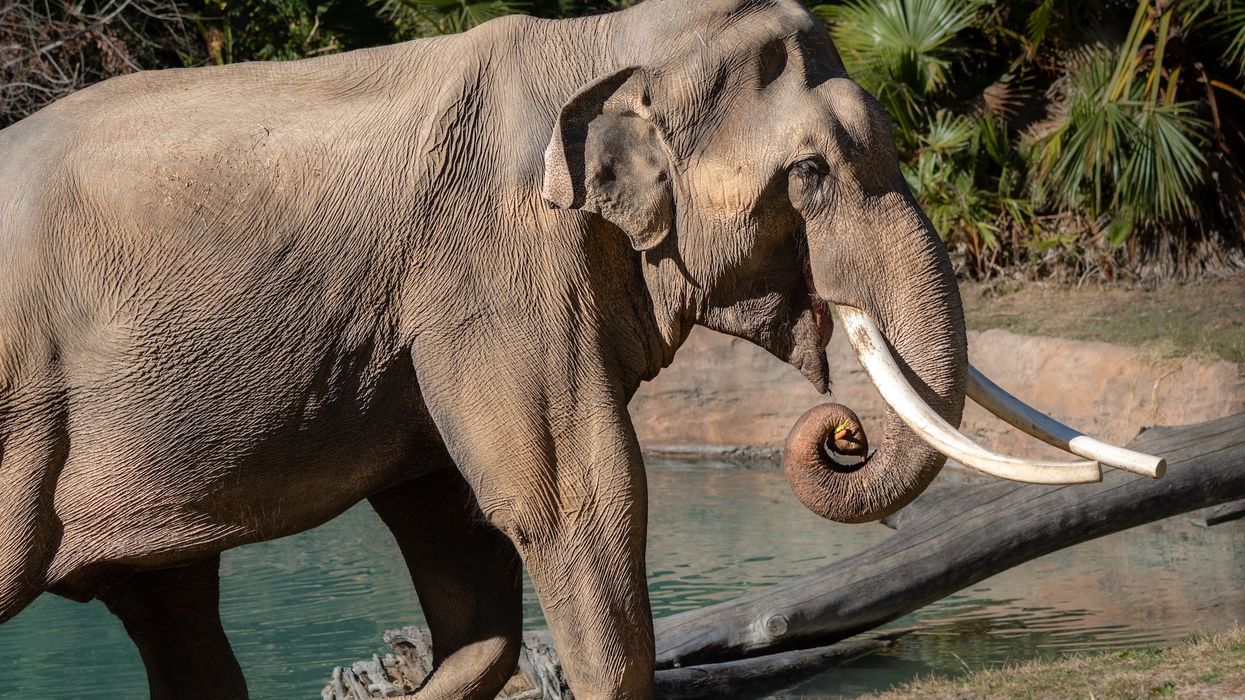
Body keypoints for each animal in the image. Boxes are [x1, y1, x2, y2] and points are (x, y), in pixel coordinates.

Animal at [0, 0, 1164, 698]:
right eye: (811, 175)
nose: (840, 432)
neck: (607, 37)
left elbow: (460, 528)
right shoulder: (493, 266)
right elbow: (571, 494)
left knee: (175, 607)